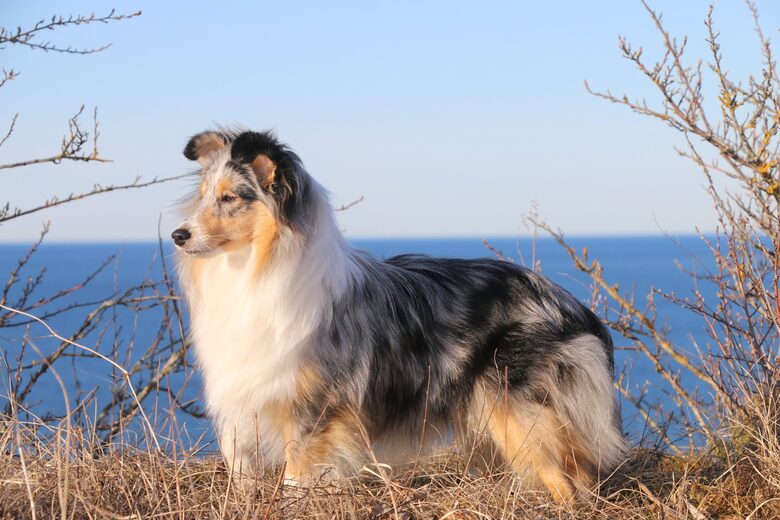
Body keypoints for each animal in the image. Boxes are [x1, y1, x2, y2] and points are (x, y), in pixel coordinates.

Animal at [172, 128, 626, 502]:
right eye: (204, 194)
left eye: (230, 198)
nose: (178, 235)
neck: (254, 269)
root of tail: (570, 303)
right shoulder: (245, 401)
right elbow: (242, 471)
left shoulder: (313, 412)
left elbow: (296, 481)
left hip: (520, 413)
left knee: (568, 480)